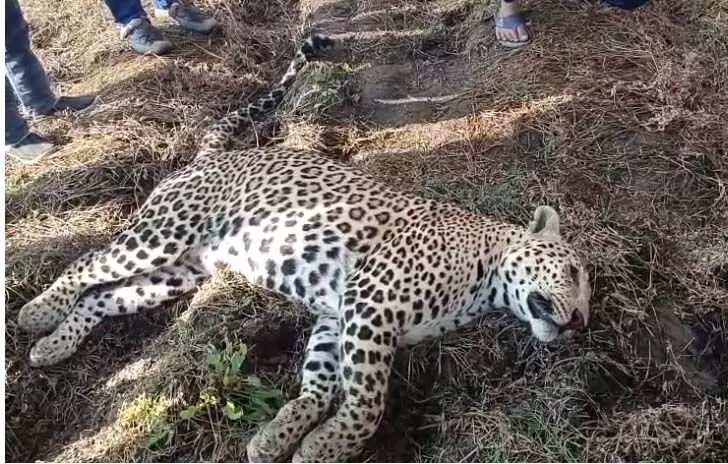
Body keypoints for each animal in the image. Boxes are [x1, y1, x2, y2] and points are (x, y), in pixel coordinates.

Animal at [16, 31, 592, 463]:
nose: (581, 323)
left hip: (179, 272)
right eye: (575, 273)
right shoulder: (369, 303)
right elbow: (366, 402)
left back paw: (53, 346)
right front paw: (327, 445)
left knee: (102, 295)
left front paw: (280, 437)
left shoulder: (339, 315)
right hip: (163, 233)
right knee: (88, 263)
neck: (485, 278)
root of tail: (213, 156)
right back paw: (35, 312)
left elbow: (318, 385)